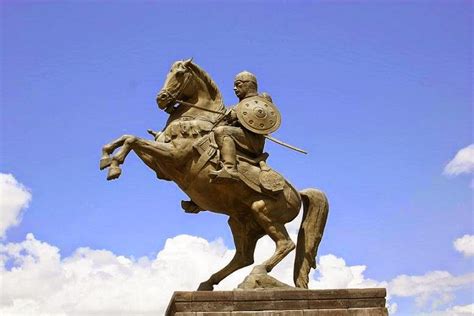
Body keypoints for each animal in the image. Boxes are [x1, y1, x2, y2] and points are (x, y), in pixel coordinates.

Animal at [100, 59, 330, 292]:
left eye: (180, 74)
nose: (161, 98)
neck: (197, 120)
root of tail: (298, 193)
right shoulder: (161, 167)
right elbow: (128, 138)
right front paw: (107, 156)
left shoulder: (173, 155)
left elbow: (133, 140)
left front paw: (114, 166)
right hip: (240, 222)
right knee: (244, 257)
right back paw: (209, 282)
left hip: (262, 210)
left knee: (284, 244)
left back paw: (255, 276)